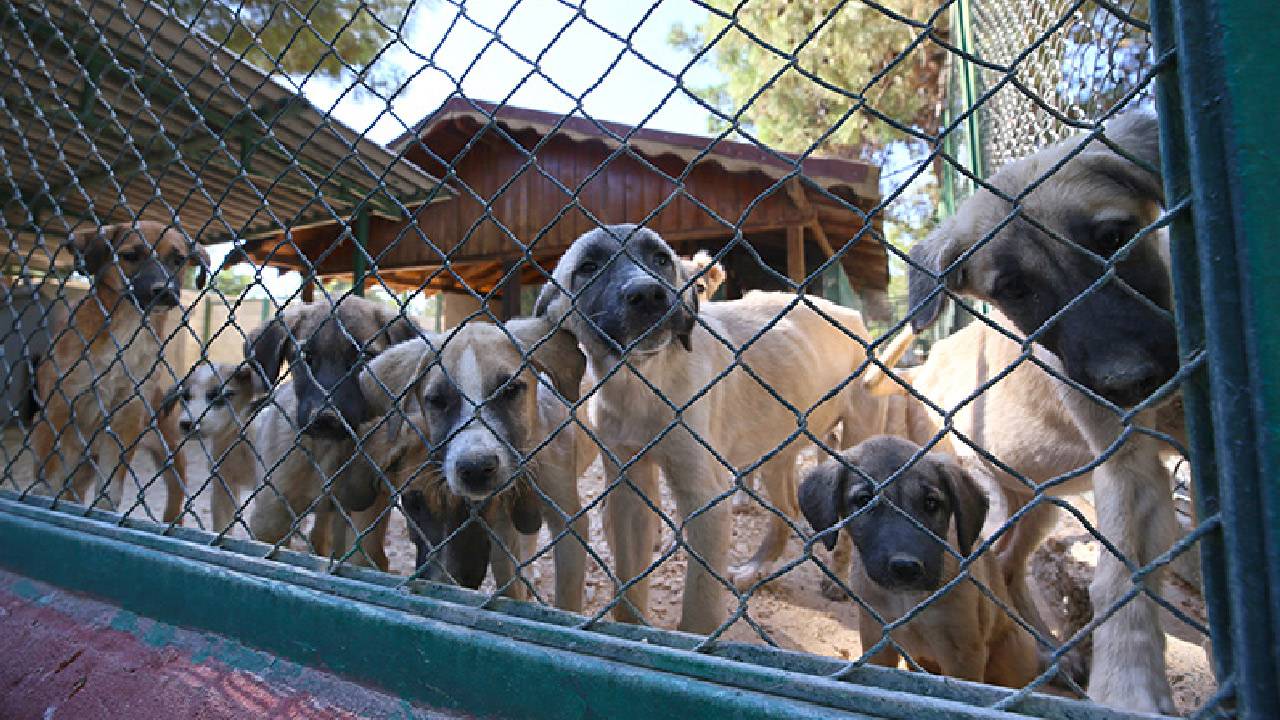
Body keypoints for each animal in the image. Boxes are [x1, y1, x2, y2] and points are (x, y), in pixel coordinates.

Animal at [532, 222, 880, 627]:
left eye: (660, 259)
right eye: (588, 267)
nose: (648, 293)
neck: (641, 382)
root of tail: (850, 313)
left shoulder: (706, 498)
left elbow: (699, 605)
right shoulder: (630, 489)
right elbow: (629, 587)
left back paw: (837, 578)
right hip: (776, 447)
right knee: (786, 511)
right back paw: (755, 569)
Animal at [803, 435, 1044, 686]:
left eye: (931, 503)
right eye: (864, 500)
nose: (906, 568)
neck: (905, 599)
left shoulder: (963, 654)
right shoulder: (876, 636)